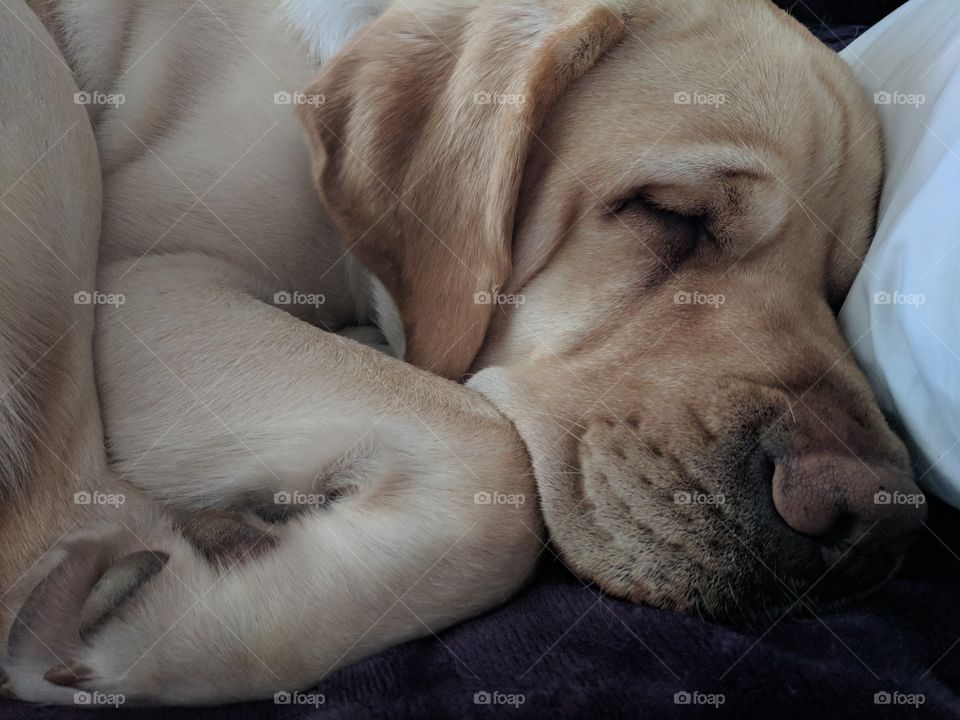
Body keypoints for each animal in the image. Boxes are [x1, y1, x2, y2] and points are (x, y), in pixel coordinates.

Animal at [1, 0, 928, 704]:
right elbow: (494, 465)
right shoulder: (148, 279)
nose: (870, 519)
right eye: (671, 213)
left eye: (839, 284)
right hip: (40, 91)